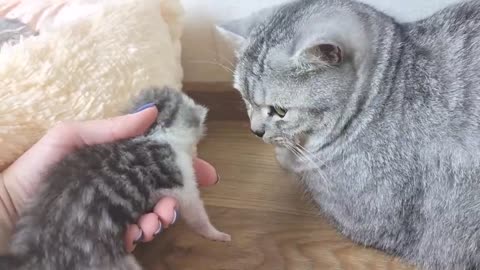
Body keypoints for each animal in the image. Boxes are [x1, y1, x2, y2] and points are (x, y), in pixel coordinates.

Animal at [218, 0, 480, 270]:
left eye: (280, 111)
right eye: (245, 99)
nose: (255, 130)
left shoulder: (362, 214)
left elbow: (302, 166)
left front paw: (286, 154)